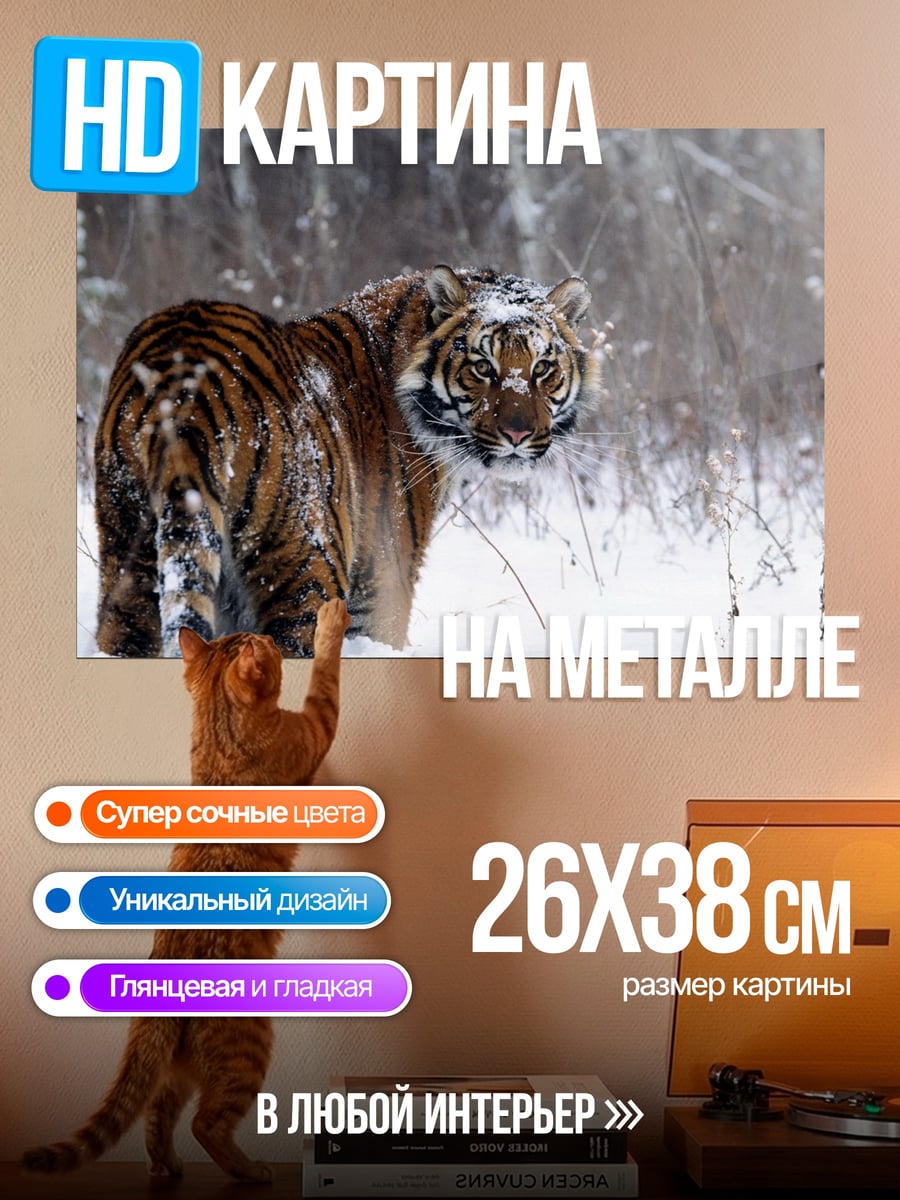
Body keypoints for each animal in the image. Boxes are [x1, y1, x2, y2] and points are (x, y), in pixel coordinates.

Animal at [94, 265, 600, 657]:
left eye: (542, 368)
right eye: (482, 367)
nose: (518, 434)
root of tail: (186, 386)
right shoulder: (383, 580)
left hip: (128, 558)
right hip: (307, 567)